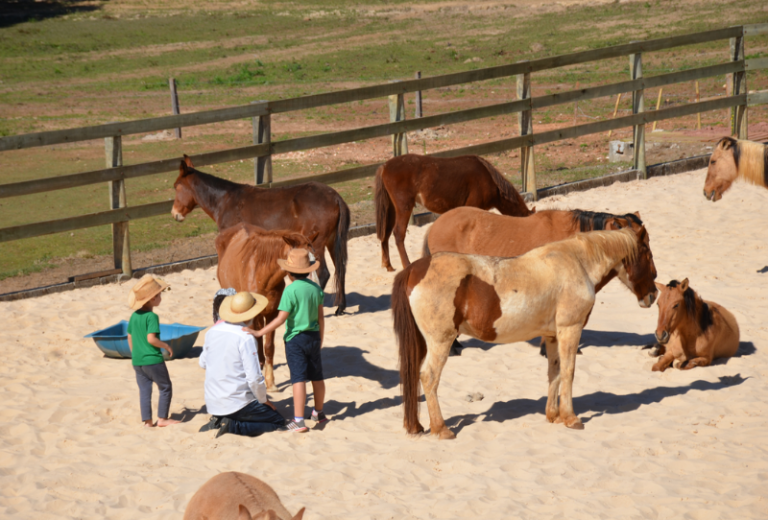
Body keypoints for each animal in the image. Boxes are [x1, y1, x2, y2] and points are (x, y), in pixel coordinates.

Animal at [172, 156, 350, 314]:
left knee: (323, 273)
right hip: (331, 242)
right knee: (340, 269)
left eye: (176, 186)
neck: (224, 202)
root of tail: (335, 197)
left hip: (317, 244)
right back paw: (340, 307)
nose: (175, 214)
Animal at [374, 153, 536, 272]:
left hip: (392, 208)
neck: (489, 180)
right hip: (404, 207)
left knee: (385, 234)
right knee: (398, 234)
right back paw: (407, 265)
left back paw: (388, 265)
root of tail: (385, 166)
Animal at [392, 230, 640, 436]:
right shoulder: (571, 329)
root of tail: (414, 268)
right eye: (644, 251)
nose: (649, 296)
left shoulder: (552, 336)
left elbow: (555, 372)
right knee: (429, 377)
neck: (577, 262)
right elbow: (568, 372)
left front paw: (553, 415)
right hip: (440, 341)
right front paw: (570, 418)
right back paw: (441, 429)